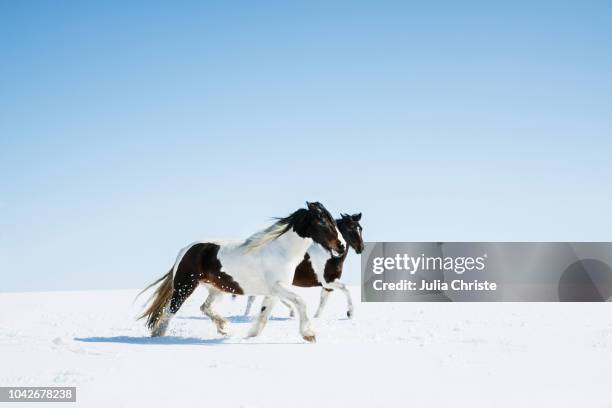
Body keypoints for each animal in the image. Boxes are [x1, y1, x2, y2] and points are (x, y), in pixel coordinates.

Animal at [138, 202, 344, 342]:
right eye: (323, 222)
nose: (341, 246)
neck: (281, 251)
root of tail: (186, 250)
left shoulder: (274, 292)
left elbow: (263, 316)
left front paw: (250, 336)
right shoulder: (279, 287)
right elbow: (300, 302)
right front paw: (309, 334)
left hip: (215, 289)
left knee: (204, 307)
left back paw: (223, 328)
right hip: (185, 287)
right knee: (168, 313)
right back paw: (159, 338)